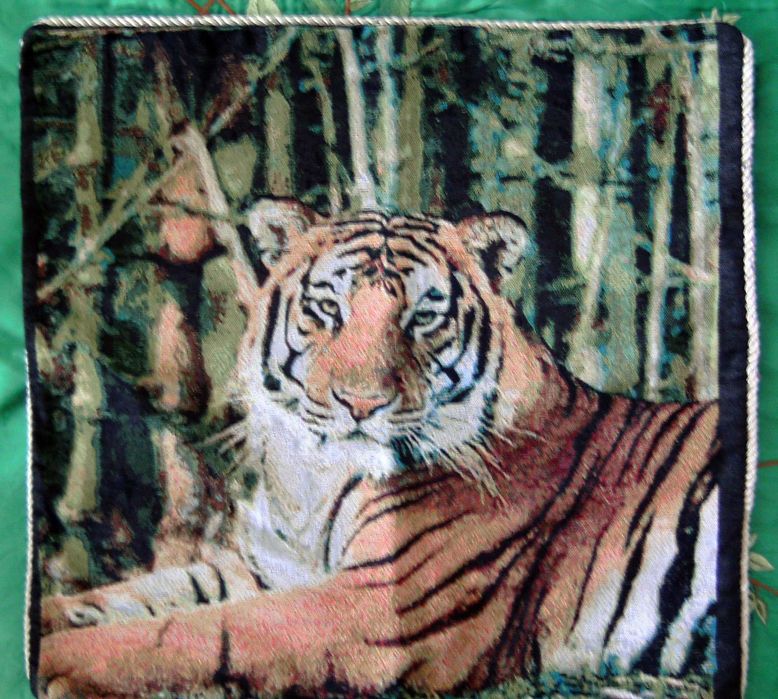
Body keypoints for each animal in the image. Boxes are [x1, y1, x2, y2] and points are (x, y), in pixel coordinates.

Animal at [37, 198, 719, 698]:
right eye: (326, 308)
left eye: (422, 317)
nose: (361, 404)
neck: (313, 478)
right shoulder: (273, 563)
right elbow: (147, 592)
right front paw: (47, 613)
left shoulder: (376, 603)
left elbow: (192, 632)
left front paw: (55, 658)